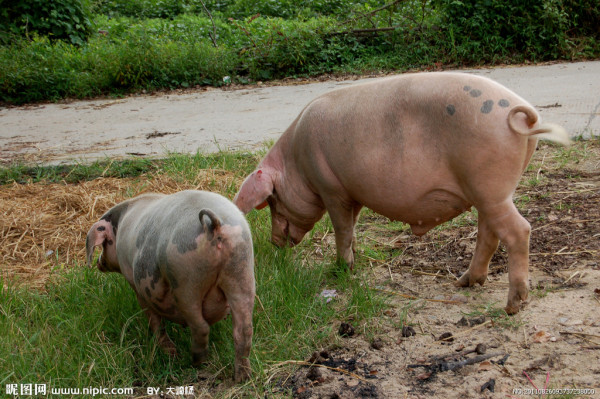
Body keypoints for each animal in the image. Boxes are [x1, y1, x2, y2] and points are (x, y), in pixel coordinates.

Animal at [85, 192, 254, 382]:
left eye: (104, 244)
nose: (98, 263)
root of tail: (214, 225)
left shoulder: (136, 285)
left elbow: (154, 319)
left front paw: (168, 352)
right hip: (242, 268)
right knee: (244, 330)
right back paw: (242, 377)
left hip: (185, 280)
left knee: (200, 327)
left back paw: (194, 361)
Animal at [233, 71, 568, 316]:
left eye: (272, 200)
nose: (273, 242)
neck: (298, 164)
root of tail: (524, 112)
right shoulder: (352, 192)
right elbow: (352, 227)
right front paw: (353, 259)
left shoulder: (331, 187)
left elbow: (341, 228)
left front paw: (340, 269)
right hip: (489, 192)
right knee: (489, 233)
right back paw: (464, 282)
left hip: (489, 185)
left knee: (519, 230)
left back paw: (512, 307)